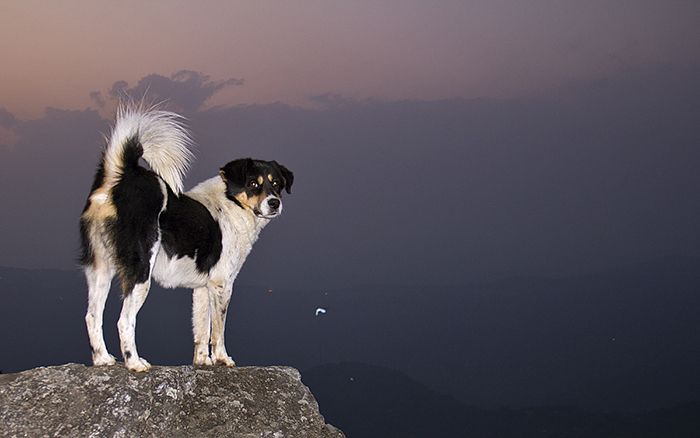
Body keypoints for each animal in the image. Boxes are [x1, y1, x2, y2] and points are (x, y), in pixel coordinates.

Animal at [78, 104, 292, 372]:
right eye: (254, 184)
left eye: (277, 185)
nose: (275, 203)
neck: (231, 204)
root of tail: (119, 180)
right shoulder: (222, 284)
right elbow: (218, 331)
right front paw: (222, 359)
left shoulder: (202, 287)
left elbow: (201, 330)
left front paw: (202, 362)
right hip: (140, 272)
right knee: (124, 320)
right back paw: (134, 362)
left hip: (100, 269)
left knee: (92, 316)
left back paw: (102, 359)